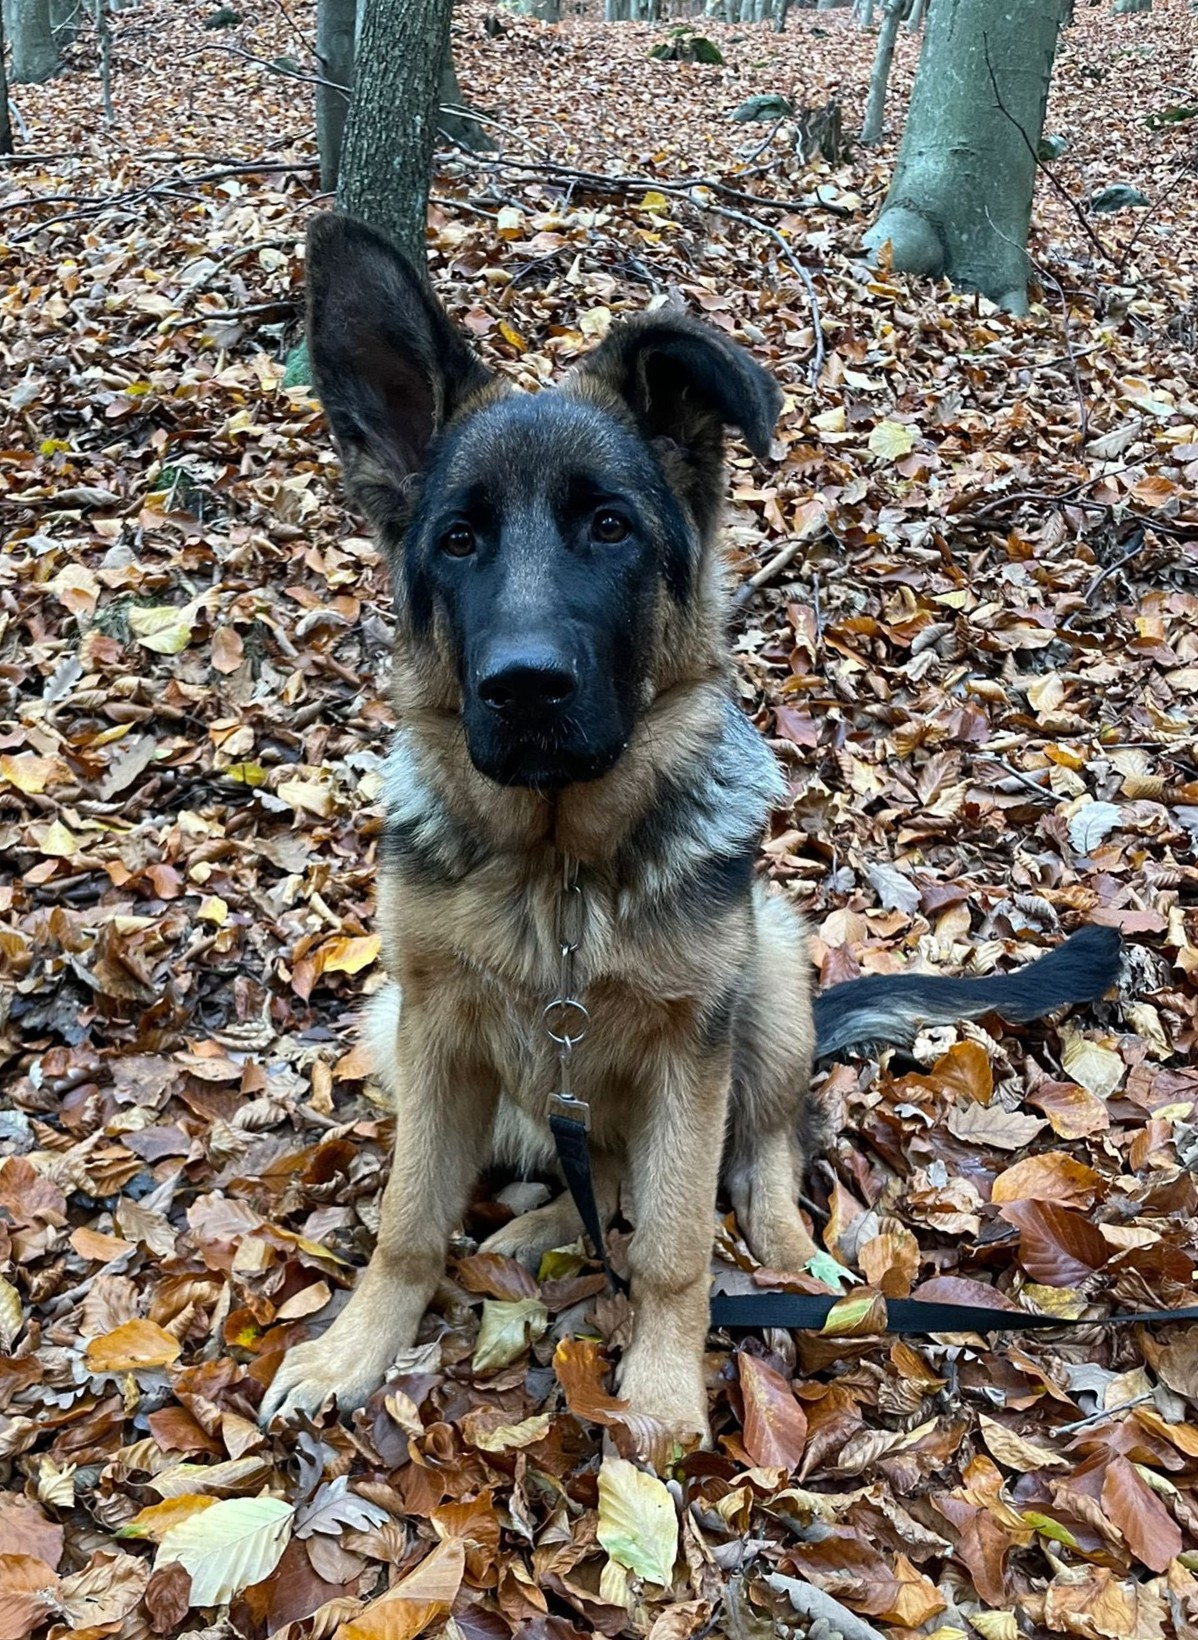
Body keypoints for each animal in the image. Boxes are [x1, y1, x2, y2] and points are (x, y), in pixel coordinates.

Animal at [260, 213, 1122, 1441]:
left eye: (609, 528)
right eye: (459, 540)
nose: (524, 689)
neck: (562, 872)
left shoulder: (689, 1051)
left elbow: (674, 1244)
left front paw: (661, 1391)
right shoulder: (429, 1027)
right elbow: (408, 1220)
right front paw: (354, 1349)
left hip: (767, 963)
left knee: (756, 1159)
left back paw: (797, 1263)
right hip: (400, 1028)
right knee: (598, 1178)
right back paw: (541, 1226)